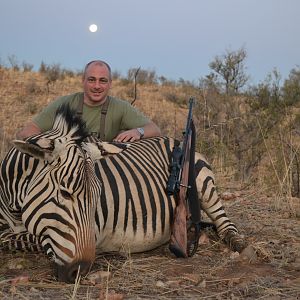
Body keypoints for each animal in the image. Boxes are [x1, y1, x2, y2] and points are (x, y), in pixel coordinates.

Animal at [0, 104, 246, 282]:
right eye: (65, 193)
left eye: (97, 197)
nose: (80, 271)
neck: (15, 208)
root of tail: (172, 138)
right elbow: (15, 239)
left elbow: (27, 238)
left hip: (204, 183)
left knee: (225, 224)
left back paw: (240, 246)